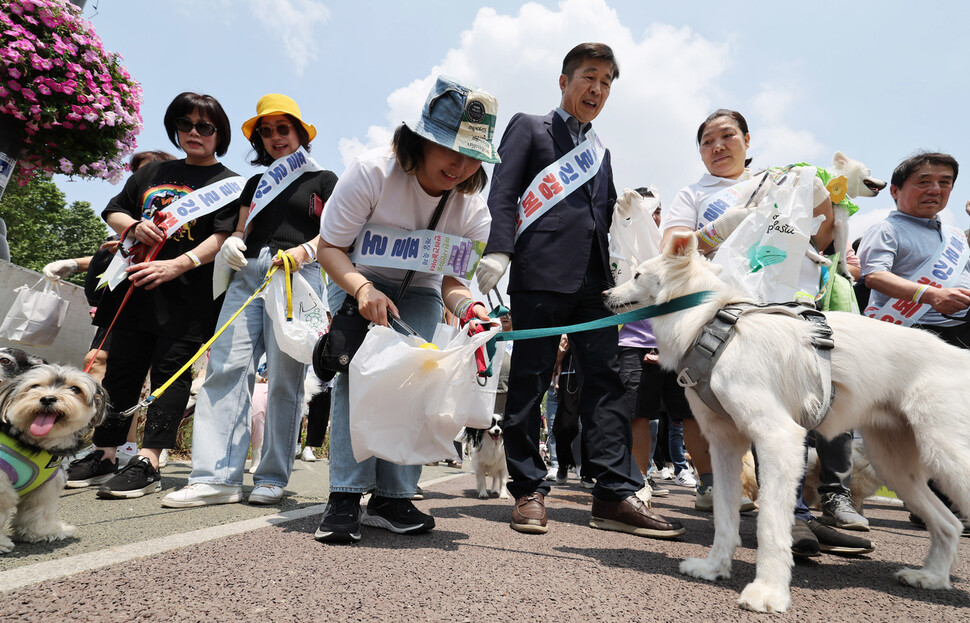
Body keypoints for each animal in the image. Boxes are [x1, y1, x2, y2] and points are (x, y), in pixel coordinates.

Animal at [0, 364, 107, 552]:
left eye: (75, 389)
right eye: (35, 386)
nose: (48, 398)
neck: (32, 443)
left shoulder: (45, 484)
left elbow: (39, 509)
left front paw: (43, 532)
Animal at [604, 234, 968, 616]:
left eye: (638, 274)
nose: (603, 294)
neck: (711, 326)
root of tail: (960, 355)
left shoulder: (779, 439)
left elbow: (770, 523)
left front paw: (768, 591)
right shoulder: (724, 445)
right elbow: (724, 515)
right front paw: (714, 568)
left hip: (947, 456)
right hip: (895, 466)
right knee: (949, 523)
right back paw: (932, 577)